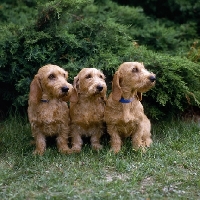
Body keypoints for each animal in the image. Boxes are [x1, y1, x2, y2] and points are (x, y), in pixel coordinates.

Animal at [27, 61, 156, 154]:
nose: (153, 77)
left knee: (147, 137)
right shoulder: (72, 126)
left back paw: (146, 144)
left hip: (146, 125)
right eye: (134, 69)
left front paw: (138, 149)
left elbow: (136, 138)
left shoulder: (136, 125)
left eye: (101, 76)